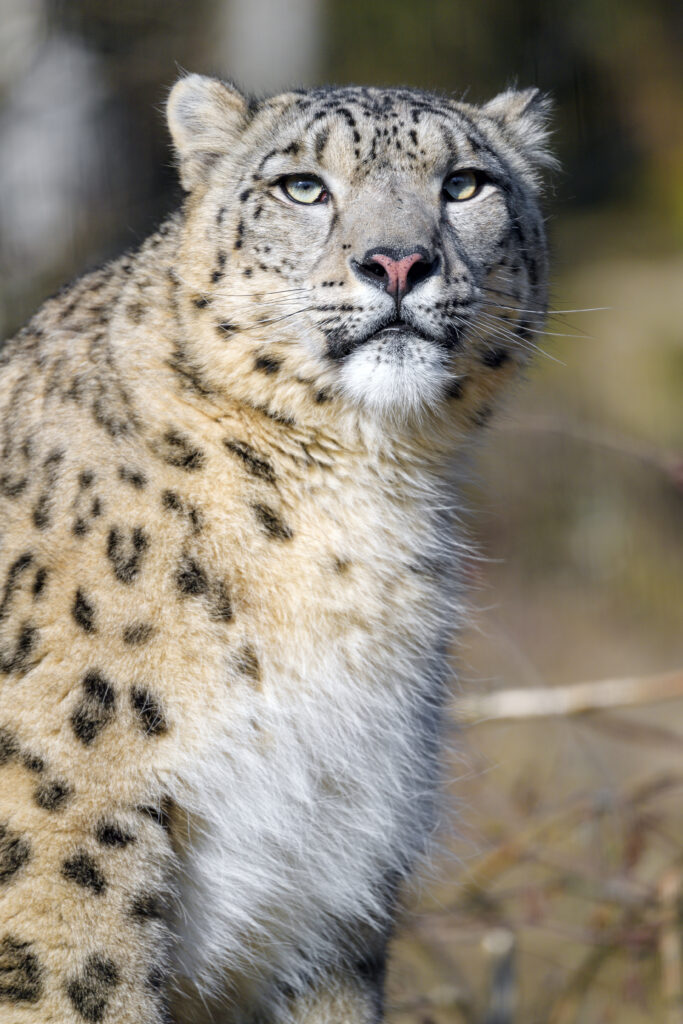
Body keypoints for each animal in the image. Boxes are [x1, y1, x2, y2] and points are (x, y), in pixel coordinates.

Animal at [0, 73, 554, 1023]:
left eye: (464, 184)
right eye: (302, 186)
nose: (398, 263)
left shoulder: (332, 867)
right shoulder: (66, 819)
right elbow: (79, 980)